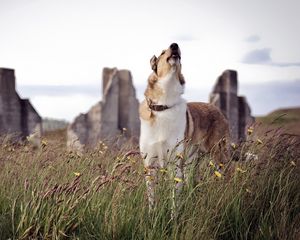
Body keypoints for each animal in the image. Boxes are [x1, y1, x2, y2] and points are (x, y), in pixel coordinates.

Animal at [139, 43, 230, 210]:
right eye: (162, 52)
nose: (174, 45)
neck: (164, 105)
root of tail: (217, 109)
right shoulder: (150, 166)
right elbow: (152, 200)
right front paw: (152, 215)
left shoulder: (175, 165)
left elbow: (175, 202)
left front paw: (174, 216)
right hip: (190, 163)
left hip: (217, 155)